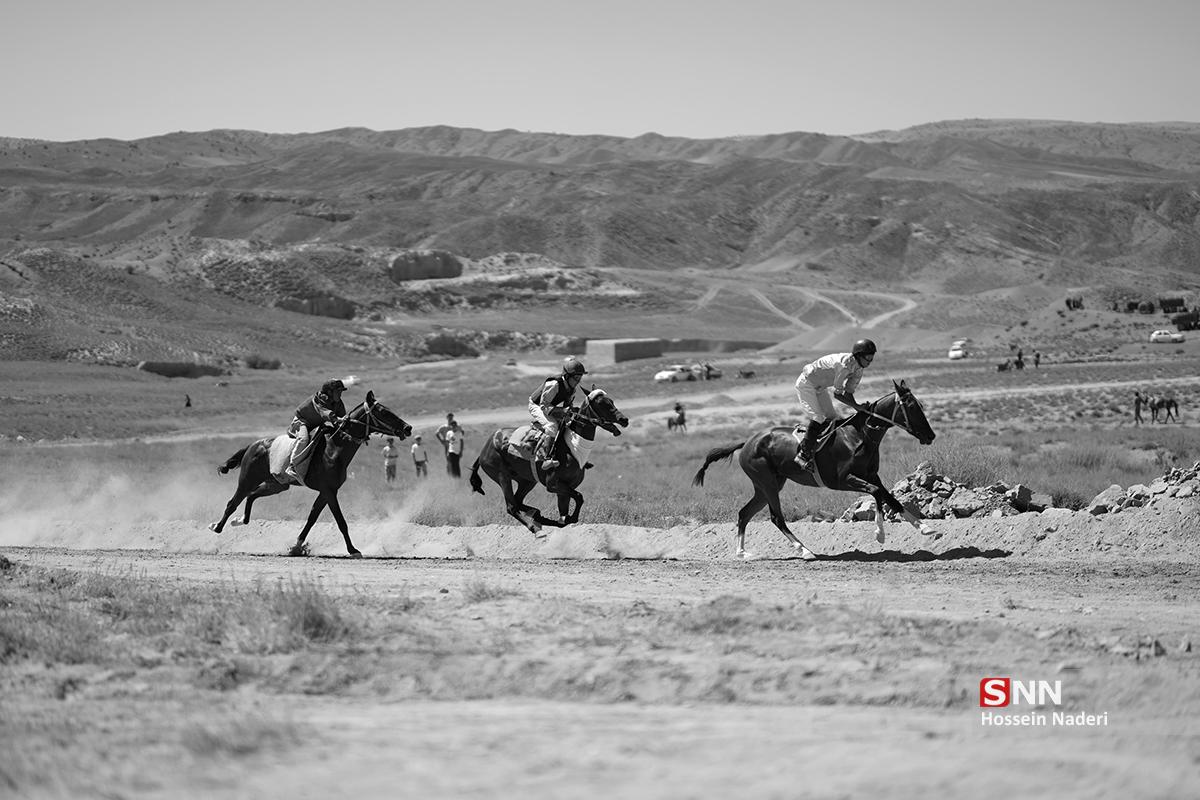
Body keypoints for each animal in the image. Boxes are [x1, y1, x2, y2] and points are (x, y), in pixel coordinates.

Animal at [208, 393, 410, 556]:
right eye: (383, 412)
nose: (408, 428)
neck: (334, 448)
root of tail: (253, 445)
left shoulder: (326, 492)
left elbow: (312, 518)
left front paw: (296, 547)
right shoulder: (329, 491)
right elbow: (341, 521)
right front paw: (353, 550)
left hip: (276, 484)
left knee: (251, 496)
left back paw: (240, 521)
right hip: (247, 479)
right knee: (232, 503)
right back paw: (217, 527)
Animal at [470, 388, 633, 537]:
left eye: (611, 401)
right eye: (601, 403)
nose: (624, 420)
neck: (571, 448)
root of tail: (485, 448)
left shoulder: (567, 487)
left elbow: (566, 509)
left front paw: (562, 520)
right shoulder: (553, 484)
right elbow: (579, 498)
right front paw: (571, 518)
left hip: (527, 480)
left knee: (518, 501)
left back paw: (537, 515)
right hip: (501, 475)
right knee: (512, 506)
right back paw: (535, 527)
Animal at [696, 381, 936, 556]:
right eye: (912, 407)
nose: (930, 435)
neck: (859, 436)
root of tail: (746, 443)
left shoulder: (870, 475)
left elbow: (891, 499)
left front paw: (924, 527)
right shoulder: (841, 480)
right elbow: (877, 494)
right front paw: (880, 534)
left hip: (767, 486)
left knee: (744, 513)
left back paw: (742, 552)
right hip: (767, 483)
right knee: (776, 518)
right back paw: (804, 550)